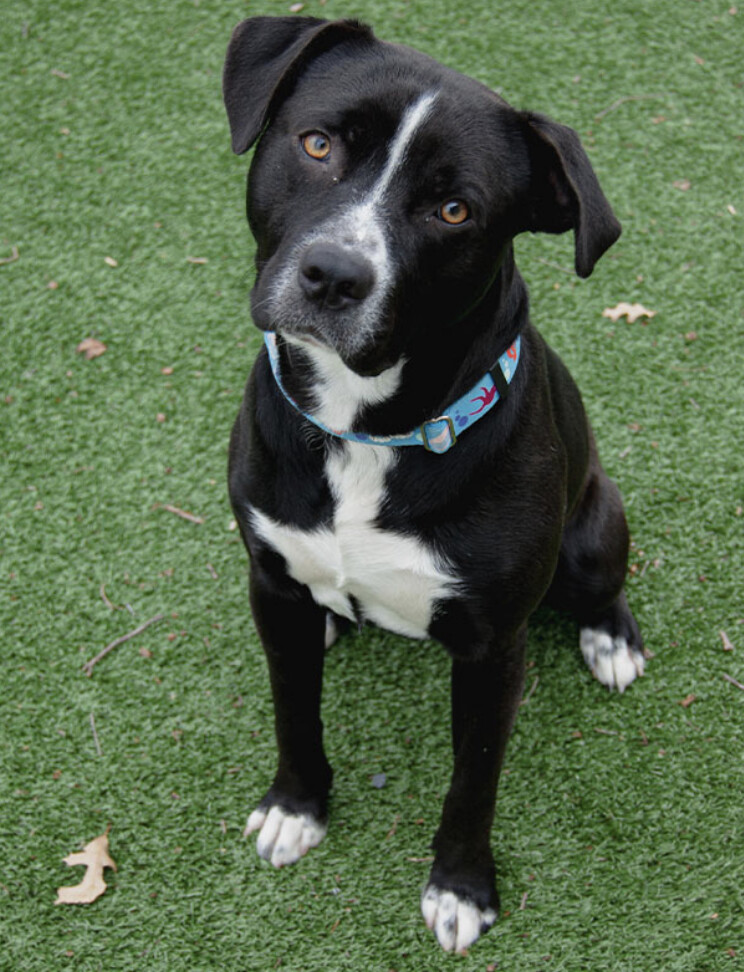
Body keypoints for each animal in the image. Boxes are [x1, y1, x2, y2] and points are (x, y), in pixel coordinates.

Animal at [221, 17, 644, 956]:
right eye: (318, 144)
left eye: (455, 211)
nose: (334, 275)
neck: (365, 431)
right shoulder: (268, 580)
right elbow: (293, 708)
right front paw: (296, 807)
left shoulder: (492, 653)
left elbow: (472, 782)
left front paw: (461, 889)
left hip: (595, 528)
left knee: (603, 585)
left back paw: (611, 640)